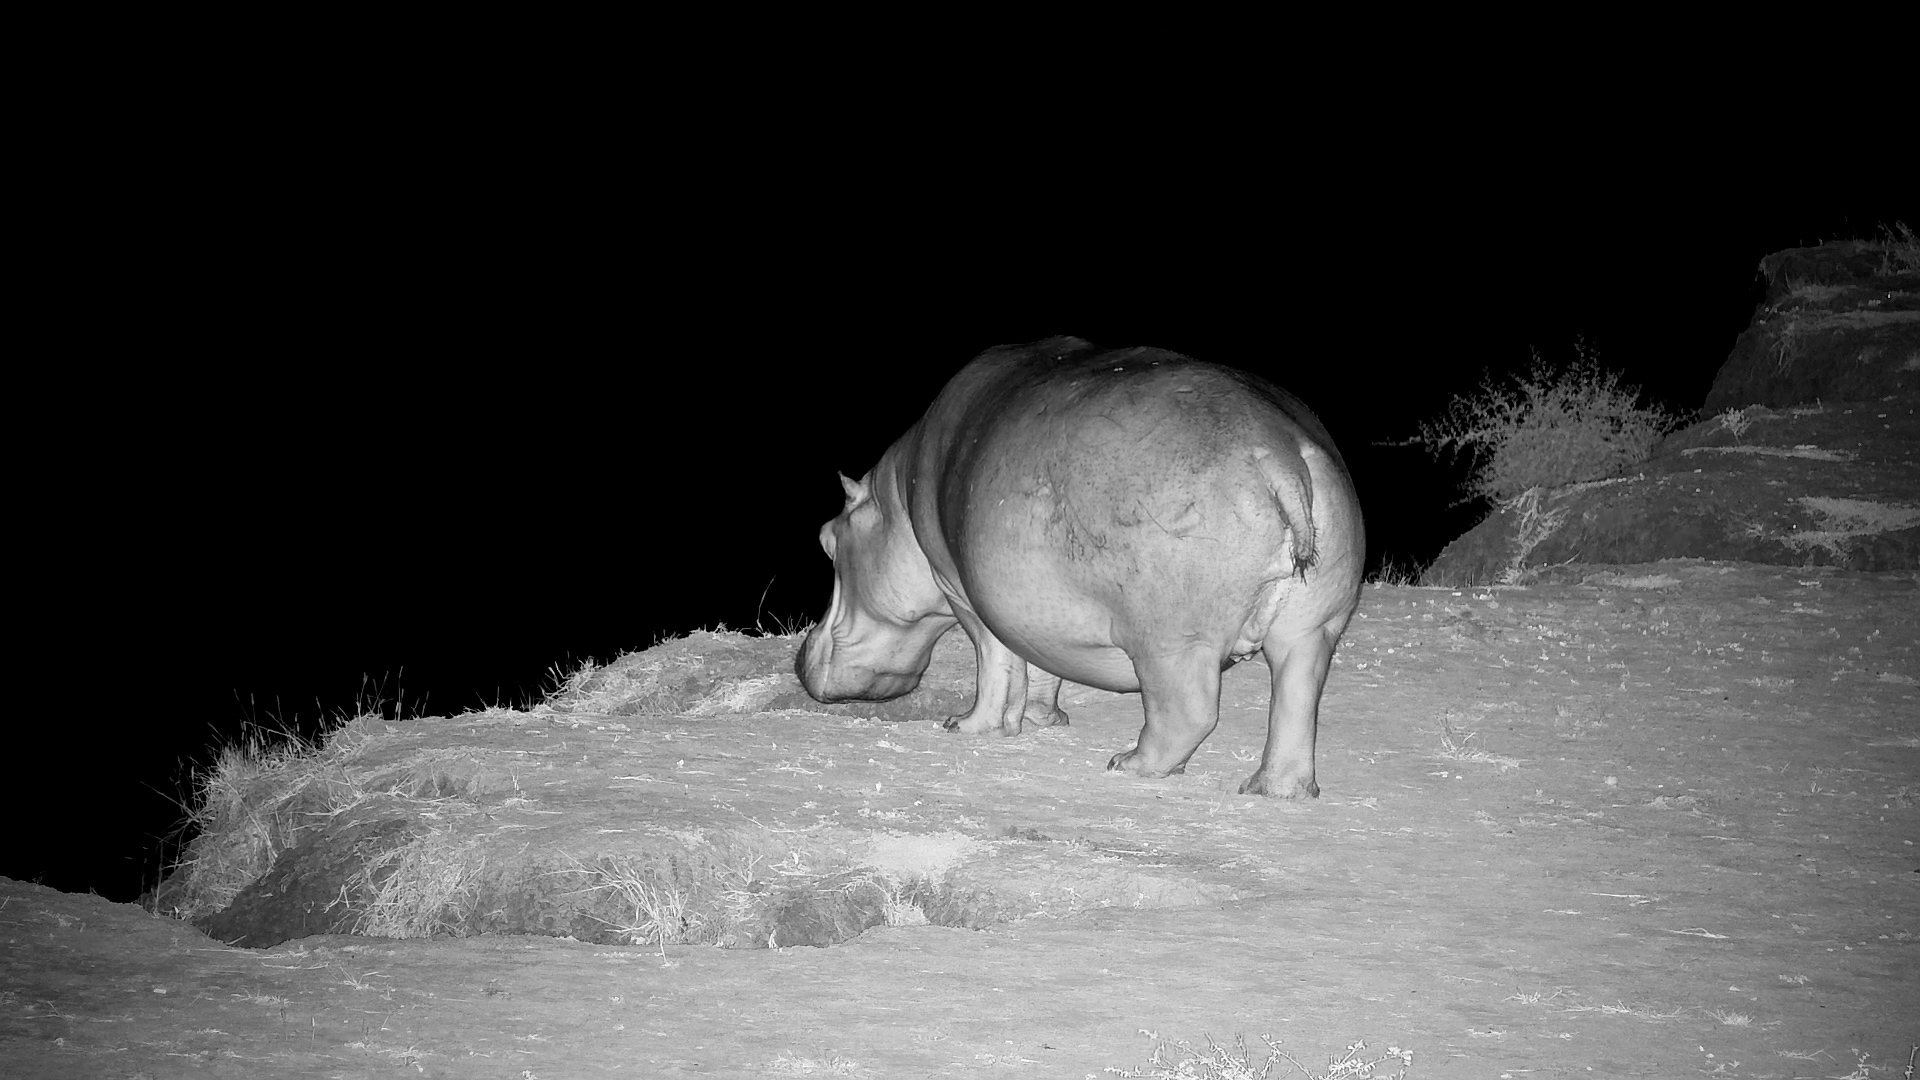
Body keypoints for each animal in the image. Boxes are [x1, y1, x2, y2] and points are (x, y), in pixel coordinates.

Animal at [794, 336, 1364, 797]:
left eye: (825, 541)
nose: (800, 657)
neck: (895, 504)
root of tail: (1282, 454)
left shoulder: (963, 592)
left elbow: (996, 663)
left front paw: (966, 726)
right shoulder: (1034, 605)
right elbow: (1042, 663)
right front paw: (1044, 719)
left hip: (1171, 643)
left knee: (1189, 712)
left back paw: (1128, 764)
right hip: (1312, 628)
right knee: (1296, 704)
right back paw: (1271, 790)